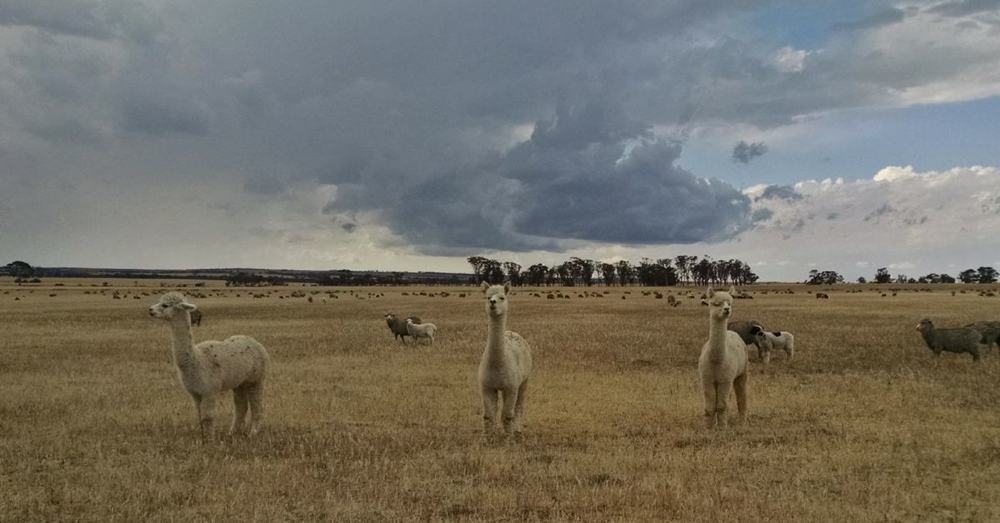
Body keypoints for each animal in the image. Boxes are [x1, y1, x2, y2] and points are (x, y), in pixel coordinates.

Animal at [146, 292, 268, 440]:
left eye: (165, 305)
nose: (150, 310)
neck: (197, 361)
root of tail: (255, 342)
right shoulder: (195, 392)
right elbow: (200, 416)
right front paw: (203, 437)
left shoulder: (210, 390)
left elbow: (208, 416)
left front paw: (210, 440)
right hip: (240, 383)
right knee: (241, 406)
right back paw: (232, 432)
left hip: (257, 379)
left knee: (257, 405)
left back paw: (253, 433)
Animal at [476, 284, 532, 440]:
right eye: (488, 297)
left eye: (502, 297)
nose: (492, 302)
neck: (497, 364)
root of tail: (512, 332)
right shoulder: (487, 387)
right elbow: (488, 416)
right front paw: (487, 438)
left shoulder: (511, 387)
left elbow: (507, 415)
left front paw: (509, 439)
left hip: (524, 381)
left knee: (519, 406)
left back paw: (517, 430)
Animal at [700, 286, 748, 430]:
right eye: (716, 303)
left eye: (730, 303)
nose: (727, 310)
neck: (716, 360)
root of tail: (732, 332)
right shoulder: (707, 379)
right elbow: (709, 407)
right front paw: (708, 428)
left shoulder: (725, 379)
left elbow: (721, 406)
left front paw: (722, 428)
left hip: (742, 372)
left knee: (741, 397)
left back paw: (742, 423)